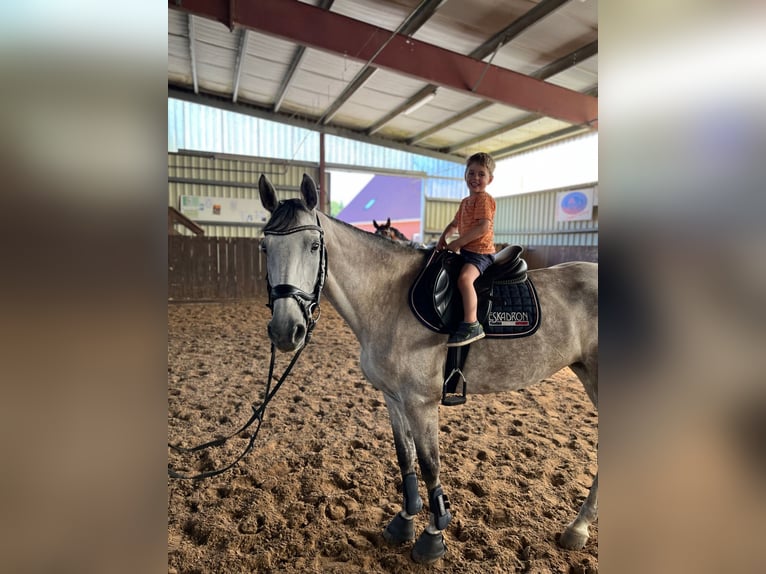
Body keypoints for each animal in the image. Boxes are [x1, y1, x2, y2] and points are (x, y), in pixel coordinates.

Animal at [258, 173, 598, 564]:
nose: (286, 331)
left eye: (314, 245)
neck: (389, 297)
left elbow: (429, 464)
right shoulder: (393, 398)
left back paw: (578, 528)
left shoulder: (421, 403)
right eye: (265, 247)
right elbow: (405, 457)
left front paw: (433, 536)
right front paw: (405, 520)